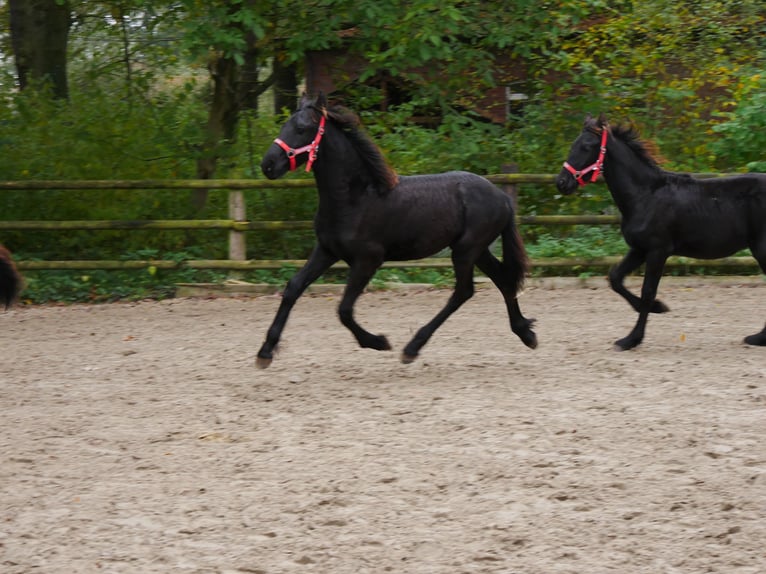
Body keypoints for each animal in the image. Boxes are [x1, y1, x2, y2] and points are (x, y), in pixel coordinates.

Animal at [255, 92, 536, 366]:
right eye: (284, 125)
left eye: (301, 128)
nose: (267, 164)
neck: (355, 197)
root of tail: (502, 197)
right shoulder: (326, 250)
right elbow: (293, 288)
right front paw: (265, 351)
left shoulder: (368, 260)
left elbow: (344, 310)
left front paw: (378, 342)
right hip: (477, 250)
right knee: (503, 280)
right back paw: (526, 333)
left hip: (467, 250)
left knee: (463, 291)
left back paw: (412, 347)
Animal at [560, 114, 766, 352]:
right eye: (573, 145)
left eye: (586, 146)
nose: (561, 182)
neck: (646, 195)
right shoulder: (639, 249)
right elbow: (615, 278)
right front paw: (659, 308)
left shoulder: (658, 251)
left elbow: (648, 291)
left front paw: (631, 339)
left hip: (762, 249)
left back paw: (759, 338)